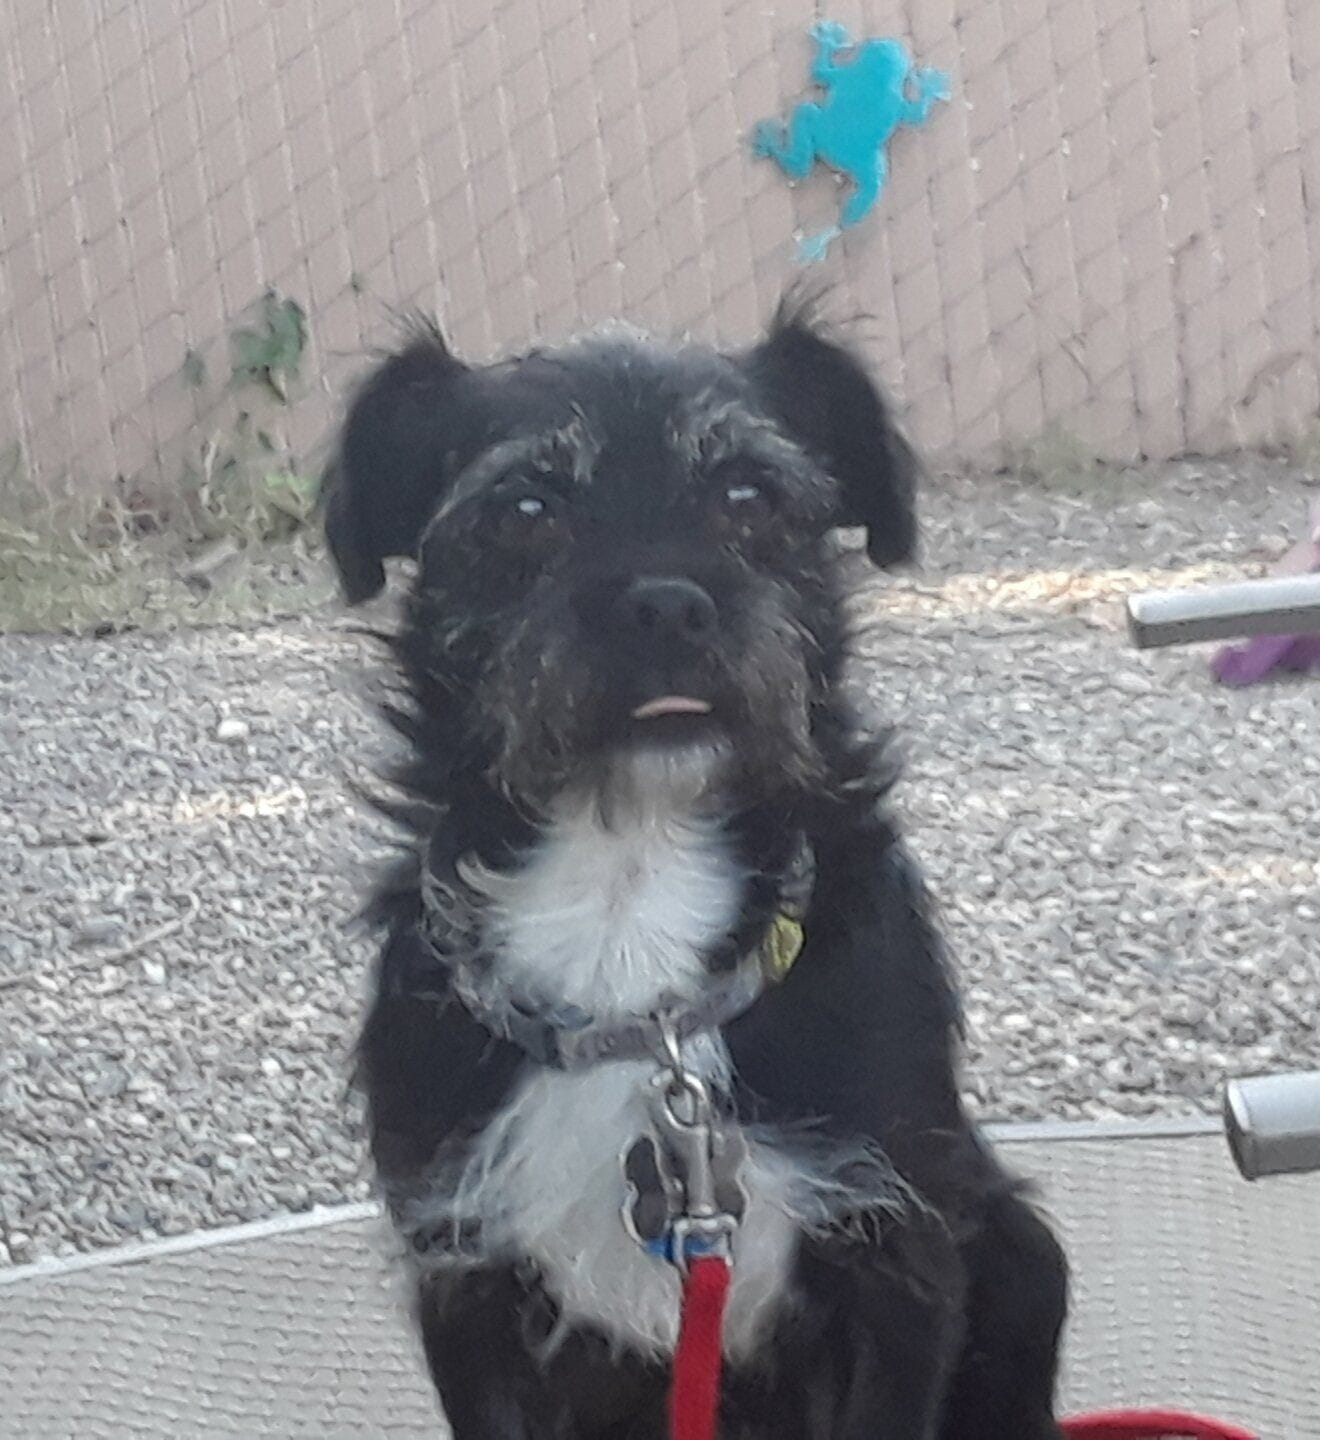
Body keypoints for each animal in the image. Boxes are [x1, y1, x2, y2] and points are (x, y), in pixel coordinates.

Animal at [322, 298, 1070, 1434]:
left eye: (748, 496)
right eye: (525, 508)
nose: (668, 605)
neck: (627, 885)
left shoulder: (898, 1264)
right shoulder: (467, 1282)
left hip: (1026, 1259)